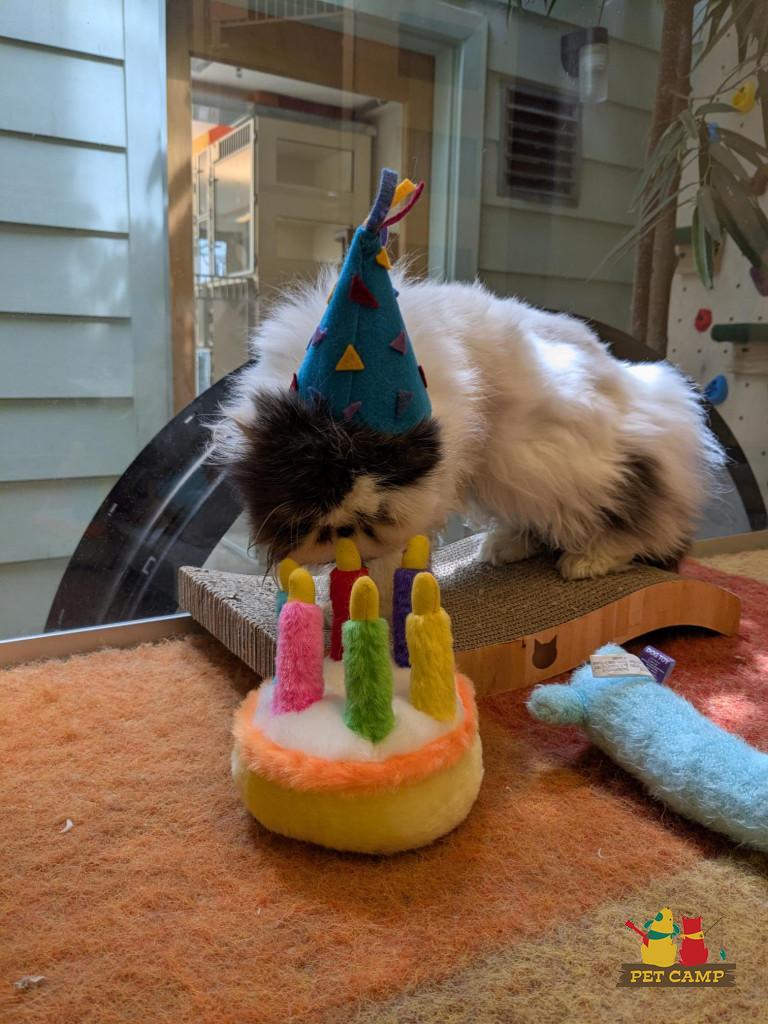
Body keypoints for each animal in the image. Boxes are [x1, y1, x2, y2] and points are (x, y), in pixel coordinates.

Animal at [212, 270, 725, 605]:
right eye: (330, 529)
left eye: (374, 455)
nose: (356, 516)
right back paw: (506, 548)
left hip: (545, 460)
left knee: (641, 513)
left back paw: (588, 561)